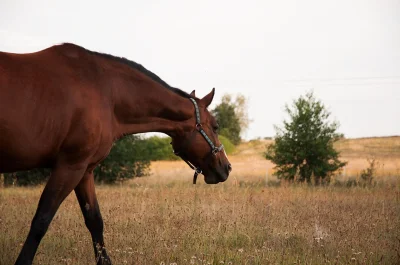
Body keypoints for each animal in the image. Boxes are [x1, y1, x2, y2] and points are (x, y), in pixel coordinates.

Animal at [0, 42, 231, 262]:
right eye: (216, 126)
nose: (226, 167)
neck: (106, 92)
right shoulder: (70, 166)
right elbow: (41, 220)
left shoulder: (85, 170)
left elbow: (94, 221)